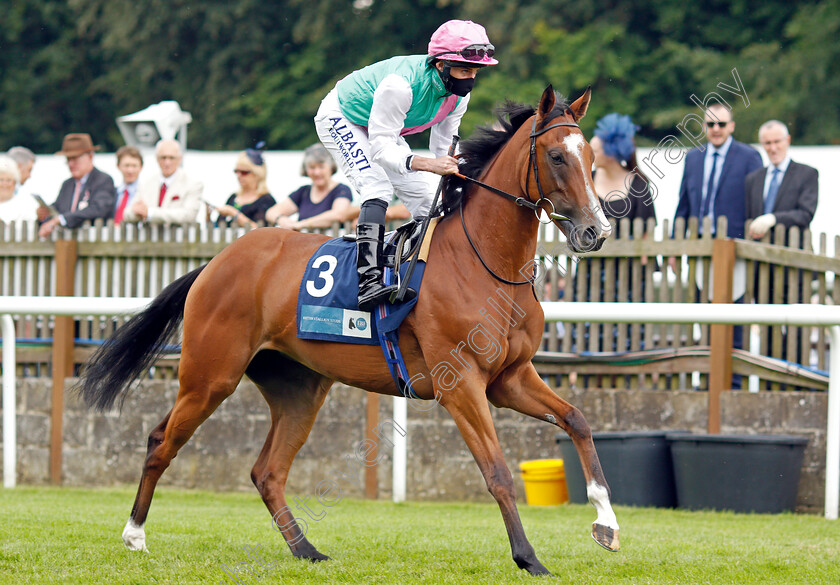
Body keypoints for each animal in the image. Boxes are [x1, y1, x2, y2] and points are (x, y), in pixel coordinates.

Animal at [77, 85, 616, 576]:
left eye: (591, 158)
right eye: (556, 156)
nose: (596, 231)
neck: (485, 262)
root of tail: (216, 262)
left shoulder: (510, 377)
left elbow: (579, 421)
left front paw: (606, 524)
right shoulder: (460, 382)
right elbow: (499, 471)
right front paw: (528, 557)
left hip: (299, 388)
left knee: (267, 471)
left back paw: (306, 549)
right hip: (210, 376)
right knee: (160, 441)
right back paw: (135, 535)